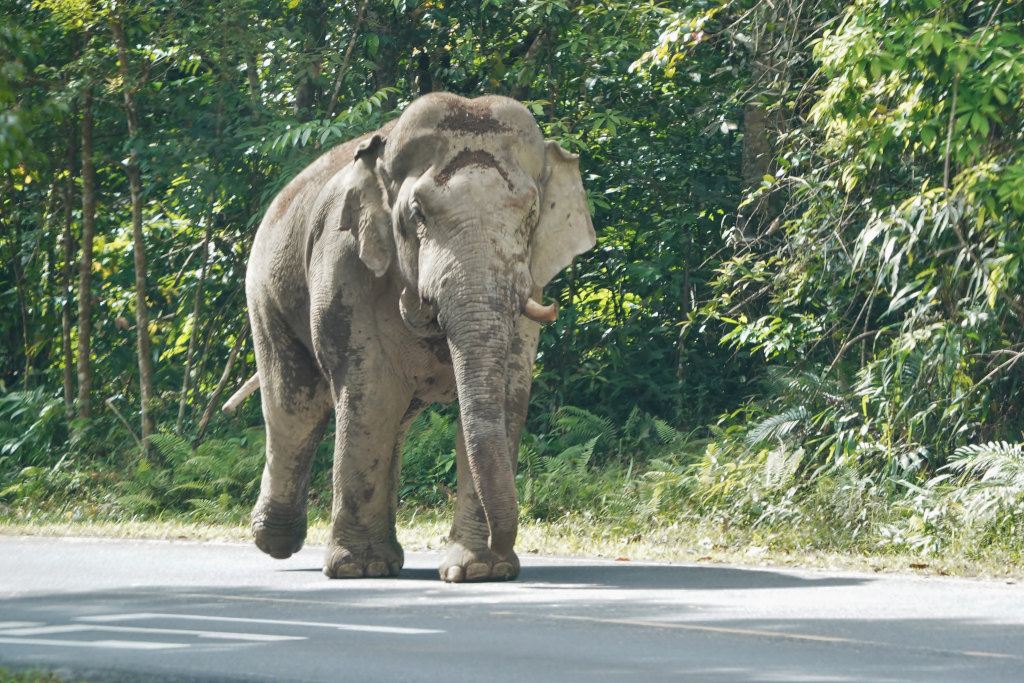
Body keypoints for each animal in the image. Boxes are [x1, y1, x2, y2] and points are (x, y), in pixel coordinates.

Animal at [234, 93, 595, 582]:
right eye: (417, 214)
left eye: (532, 214)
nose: (504, 545)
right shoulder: (345, 266)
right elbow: (370, 393)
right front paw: (358, 569)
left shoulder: (530, 281)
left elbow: (506, 394)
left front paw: (481, 572)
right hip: (265, 294)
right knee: (295, 407)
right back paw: (277, 541)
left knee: (393, 421)